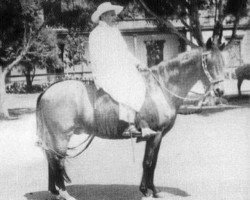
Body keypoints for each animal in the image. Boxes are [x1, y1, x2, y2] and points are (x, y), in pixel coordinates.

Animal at [35, 44, 225, 200]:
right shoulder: (155, 134)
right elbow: (148, 163)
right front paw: (147, 191)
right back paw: (64, 193)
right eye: (210, 63)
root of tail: (47, 91)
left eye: (223, 62)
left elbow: (152, 163)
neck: (160, 88)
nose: (220, 90)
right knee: (57, 159)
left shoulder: (157, 136)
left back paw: (55, 191)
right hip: (61, 136)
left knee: (51, 158)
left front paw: (152, 190)